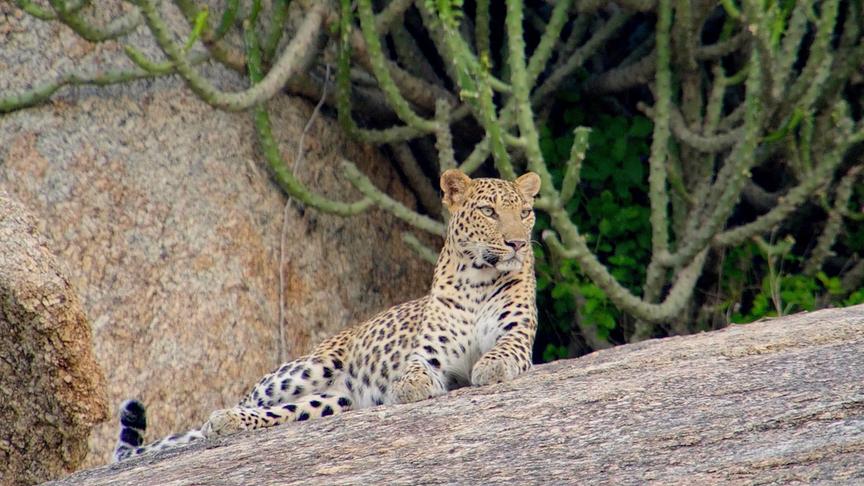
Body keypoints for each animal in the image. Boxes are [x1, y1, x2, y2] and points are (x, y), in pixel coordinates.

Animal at [113, 169, 541, 462]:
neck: (477, 280)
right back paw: (221, 420)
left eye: (525, 212)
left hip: (334, 402)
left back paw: (225, 423)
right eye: (488, 211)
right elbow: (415, 369)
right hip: (306, 369)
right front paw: (410, 387)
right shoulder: (429, 353)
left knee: (283, 412)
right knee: (247, 403)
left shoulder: (516, 336)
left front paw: (489, 368)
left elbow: (501, 351)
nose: (518, 243)